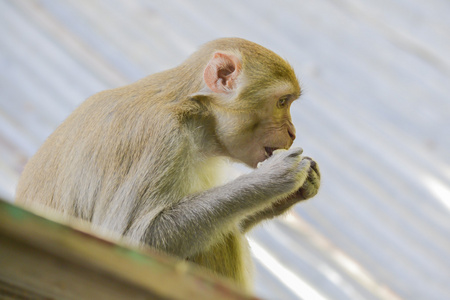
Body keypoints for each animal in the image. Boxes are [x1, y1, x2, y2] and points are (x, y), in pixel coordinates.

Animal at [15, 37, 320, 290]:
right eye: (282, 101)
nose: (292, 132)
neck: (196, 116)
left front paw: (300, 188)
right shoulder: (159, 138)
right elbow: (131, 240)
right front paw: (272, 179)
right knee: (221, 239)